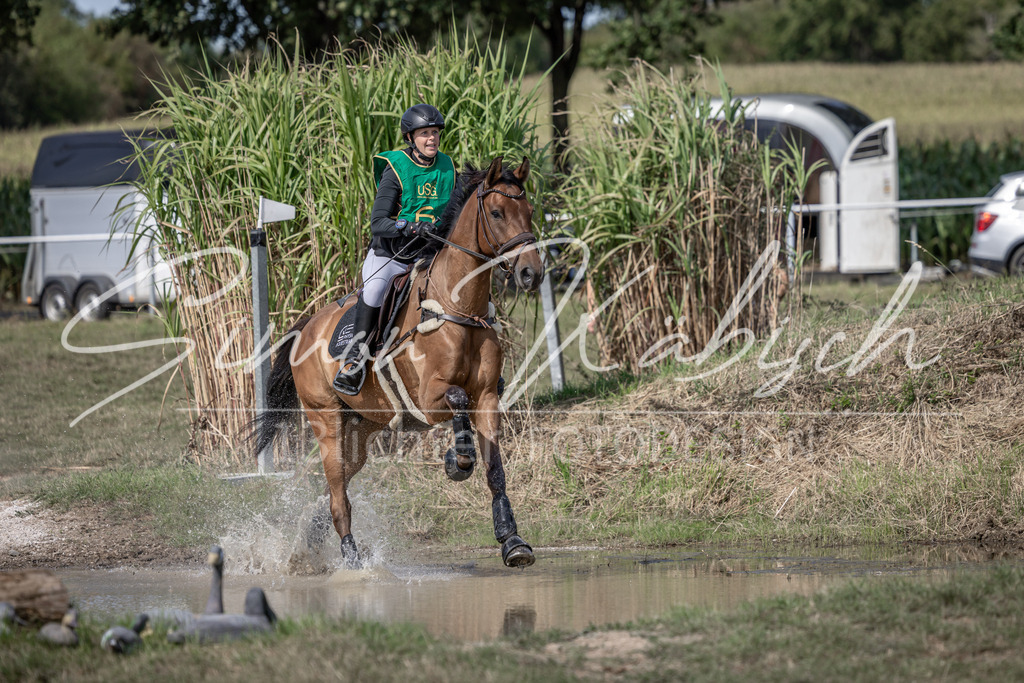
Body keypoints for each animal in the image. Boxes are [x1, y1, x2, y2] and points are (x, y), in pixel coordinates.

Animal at [254, 156, 542, 569]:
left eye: (530, 211)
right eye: (497, 212)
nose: (532, 273)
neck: (458, 307)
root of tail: (306, 327)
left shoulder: (487, 397)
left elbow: (495, 471)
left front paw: (512, 540)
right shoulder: (428, 398)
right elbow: (457, 401)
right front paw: (457, 461)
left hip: (361, 428)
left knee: (335, 488)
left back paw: (312, 536)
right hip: (326, 421)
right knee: (338, 493)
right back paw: (352, 559)